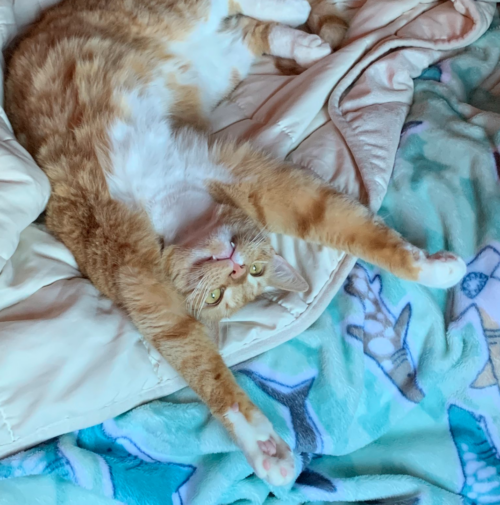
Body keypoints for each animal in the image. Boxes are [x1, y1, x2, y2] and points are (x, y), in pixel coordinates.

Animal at [4, 0, 464, 484]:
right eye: (219, 295)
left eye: (256, 271)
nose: (234, 263)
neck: (177, 213)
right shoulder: (149, 295)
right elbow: (202, 367)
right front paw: (262, 445)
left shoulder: (255, 183)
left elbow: (353, 229)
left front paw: (430, 267)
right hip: (205, 51)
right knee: (243, 22)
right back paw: (301, 35)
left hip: (206, 48)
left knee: (243, 17)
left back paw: (302, 34)